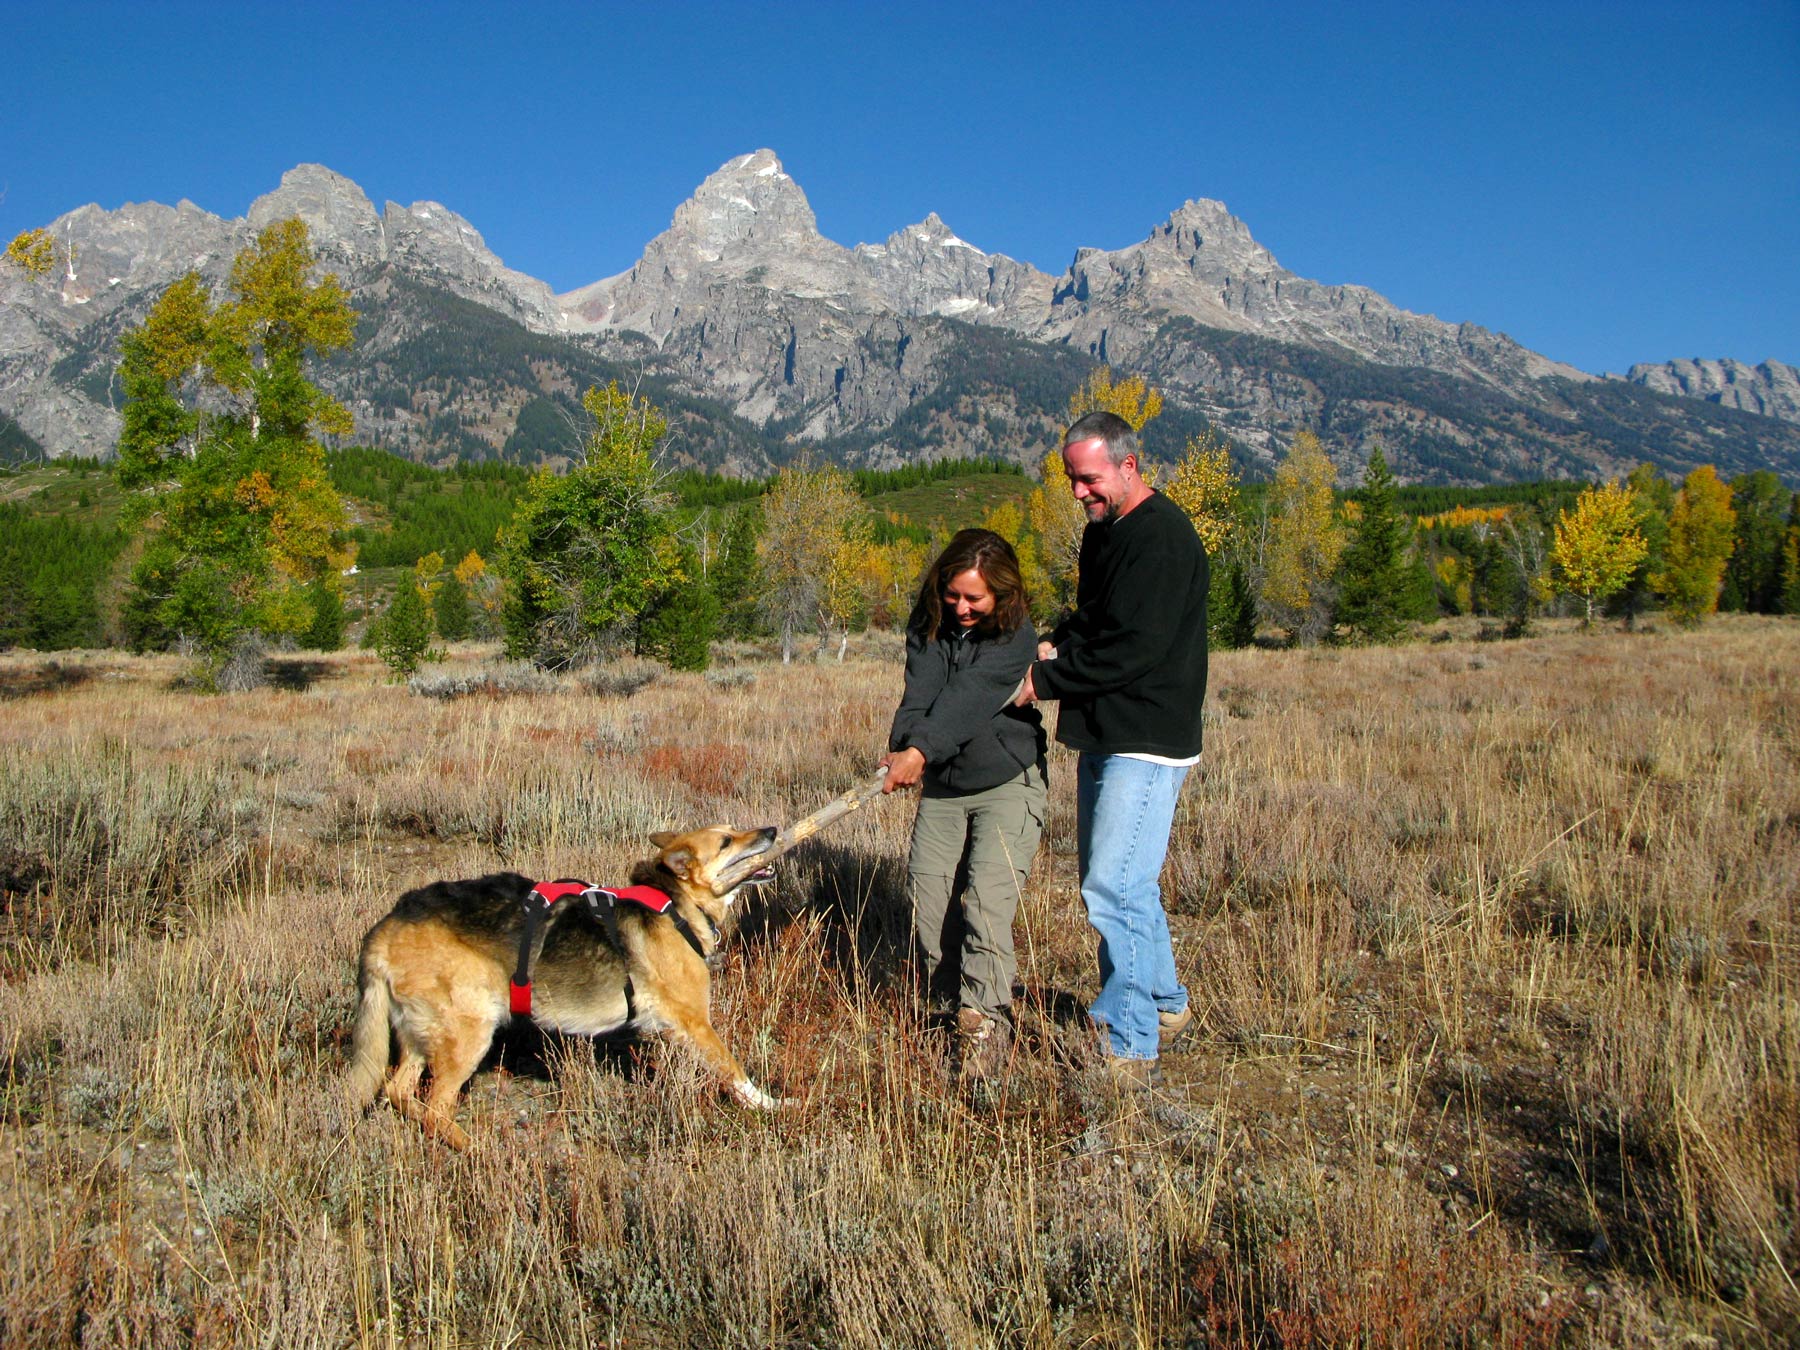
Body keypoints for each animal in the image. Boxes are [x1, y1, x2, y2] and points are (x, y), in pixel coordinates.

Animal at [347, 824, 784, 1152]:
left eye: (733, 831)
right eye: (726, 841)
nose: (772, 830)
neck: (676, 905)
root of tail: (386, 928)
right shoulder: (694, 1022)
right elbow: (735, 1071)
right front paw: (771, 1105)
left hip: (423, 1034)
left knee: (398, 1091)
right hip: (468, 1034)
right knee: (436, 1110)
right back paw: (476, 1149)